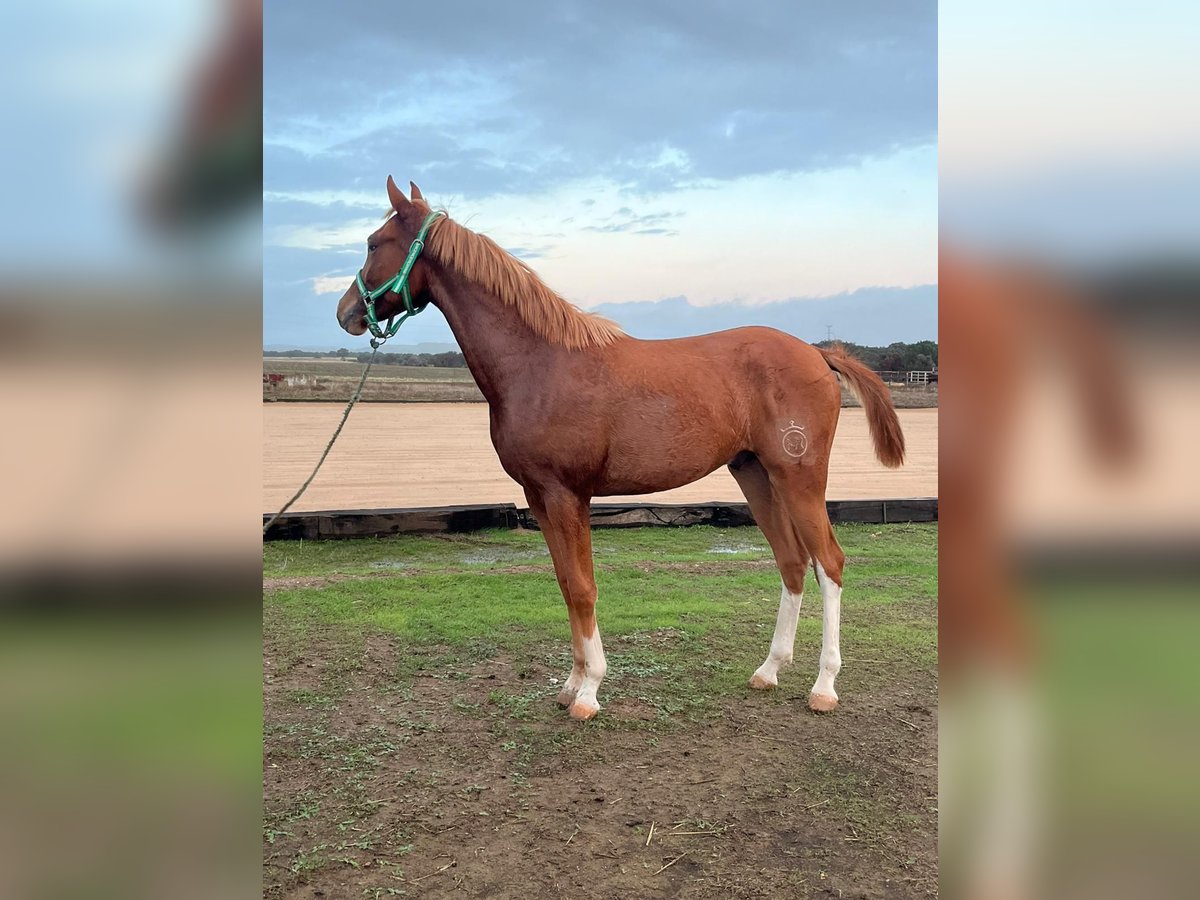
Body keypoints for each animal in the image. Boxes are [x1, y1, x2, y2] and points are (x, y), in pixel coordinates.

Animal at [336, 177, 906, 720]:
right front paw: (570, 685)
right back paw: (768, 670)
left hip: (798, 476)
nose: (346, 312)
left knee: (828, 563)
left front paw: (589, 691)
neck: (539, 362)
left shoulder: (569, 495)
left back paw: (824, 687)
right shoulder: (540, 497)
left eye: (373, 243)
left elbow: (583, 586)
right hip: (755, 474)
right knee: (791, 562)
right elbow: (566, 583)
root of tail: (816, 352)